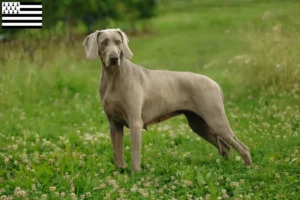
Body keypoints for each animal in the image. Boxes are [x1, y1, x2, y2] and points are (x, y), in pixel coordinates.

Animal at [82, 28, 253, 173]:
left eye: (118, 42)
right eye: (104, 42)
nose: (114, 58)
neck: (113, 77)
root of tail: (215, 83)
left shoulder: (135, 122)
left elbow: (135, 154)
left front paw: (135, 176)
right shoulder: (114, 124)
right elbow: (117, 152)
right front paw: (120, 174)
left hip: (216, 119)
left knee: (241, 147)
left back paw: (249, 169)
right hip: (199, 123)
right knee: (225, 147)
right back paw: (225, 168)